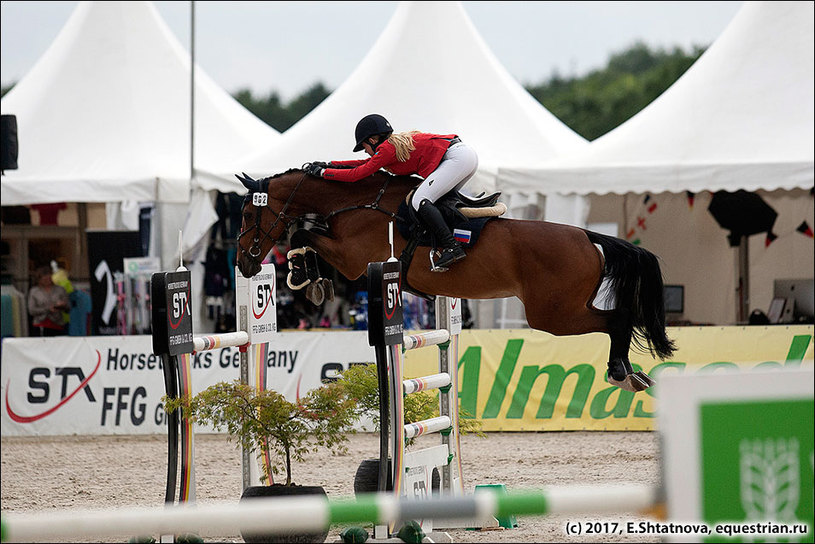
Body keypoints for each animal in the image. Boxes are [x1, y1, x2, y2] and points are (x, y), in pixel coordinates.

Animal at [236, 167, 676, 392]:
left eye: (248, 214)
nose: (243, 263)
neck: (358, 201)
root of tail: (587, 237)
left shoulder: (353, 260)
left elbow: (302, 234)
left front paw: (304, 276)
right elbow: (305, 235)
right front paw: (309, 277)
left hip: (554, 315)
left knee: (617, 319)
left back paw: (621, 372)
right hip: (564, 309)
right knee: (619, 318)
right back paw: (629, 372)